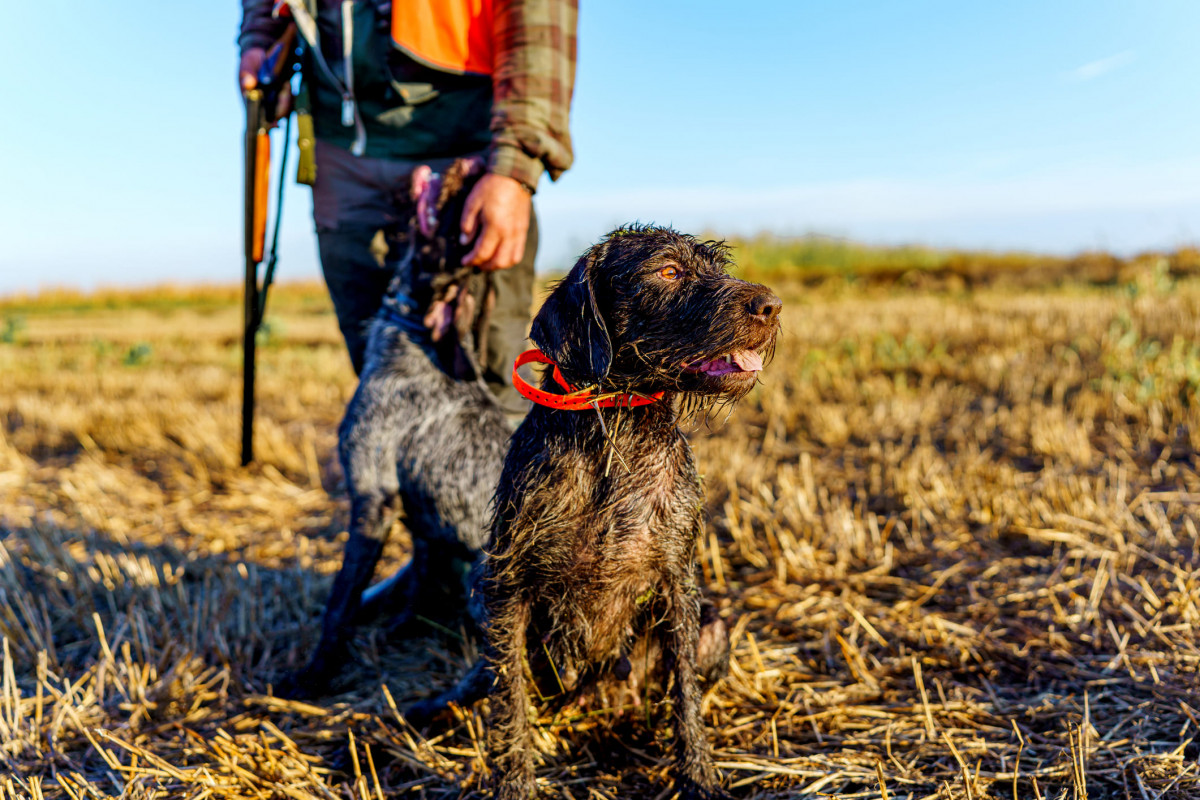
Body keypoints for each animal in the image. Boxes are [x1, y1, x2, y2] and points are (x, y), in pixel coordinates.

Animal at [408, 225, 782, 800]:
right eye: (668, 271)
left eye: (717, 268)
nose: (772, 305)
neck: (614, 430)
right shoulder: (508, 586)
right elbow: (508, 700)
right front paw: (514, 783)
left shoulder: (677, 582)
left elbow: (686, 695)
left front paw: (697, 775)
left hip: (712, 626)